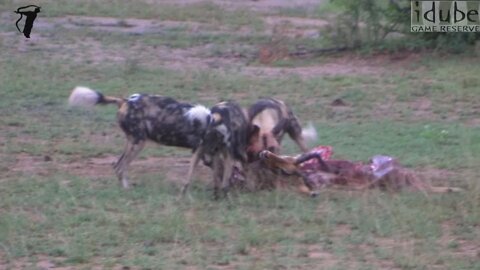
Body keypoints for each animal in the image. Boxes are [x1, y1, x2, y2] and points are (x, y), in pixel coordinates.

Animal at [68, 86, 211, 188]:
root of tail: (126, 101)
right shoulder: (200, 152)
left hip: (133, 143)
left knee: (118, 166)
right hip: (138, 143)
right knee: (120, 167)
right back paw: (127, 190)